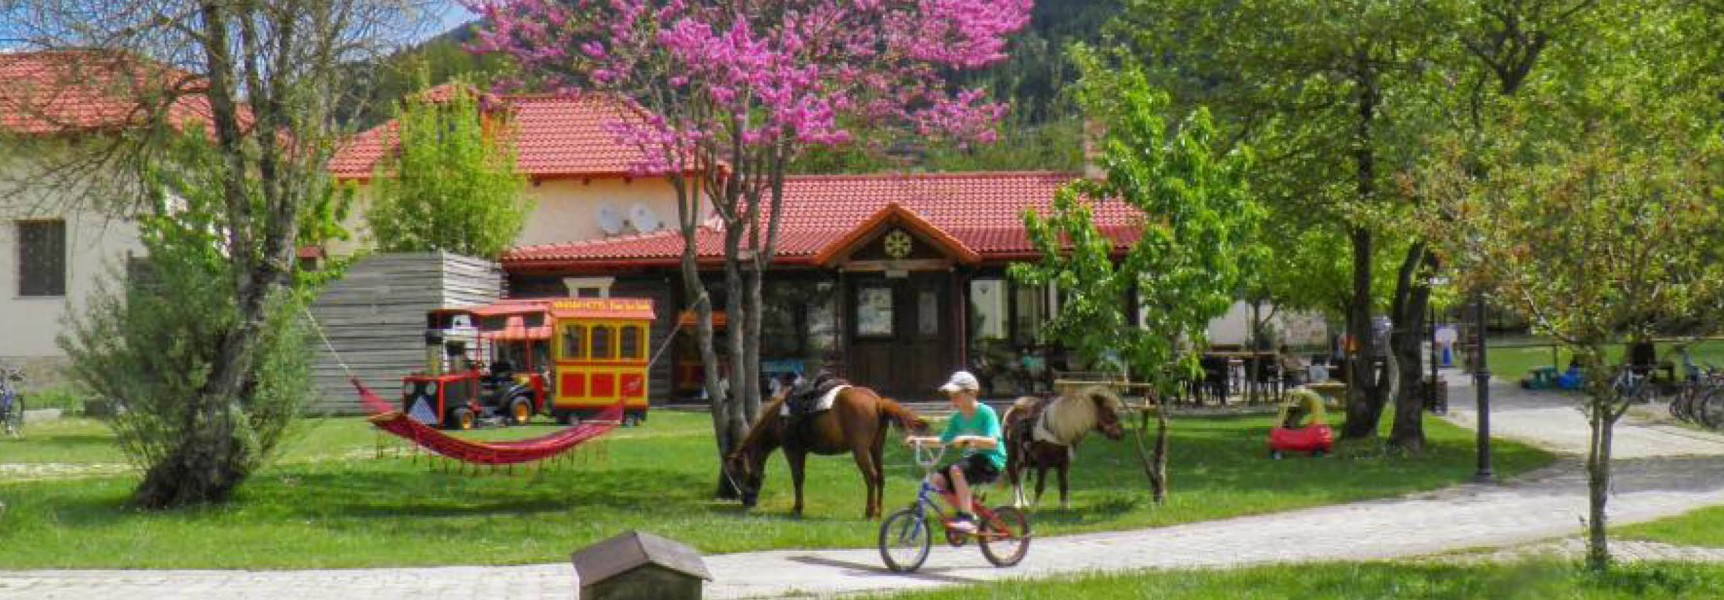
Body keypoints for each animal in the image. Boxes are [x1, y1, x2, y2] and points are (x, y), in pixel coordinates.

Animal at [720, 386, 930, 517]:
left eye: (738, 473)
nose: (746, 501)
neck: (779, 419)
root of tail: (877, 402)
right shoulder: (802, 452)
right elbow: (800, 478)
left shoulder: (792, 450)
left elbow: (797, 479)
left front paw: (797, 508)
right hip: (876, 448)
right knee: (880, 476)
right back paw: (878, 511)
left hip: (860, 450)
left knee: (870, 477)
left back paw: (869, 512)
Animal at [999, 386, 1130, 506]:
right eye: (1110, 413)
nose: (1121, 433)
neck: (1056, 431)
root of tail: (1011, 410)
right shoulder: (1043, 465)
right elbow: (1040, 487)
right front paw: (1034, 508)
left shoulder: (1064, 465)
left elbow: (1064, 487)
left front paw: (1064, 509)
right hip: (1012, 458)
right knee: (1014, 478)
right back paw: (1017, 503)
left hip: (1024, 461)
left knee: (1020, 478)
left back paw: (1024, 502)